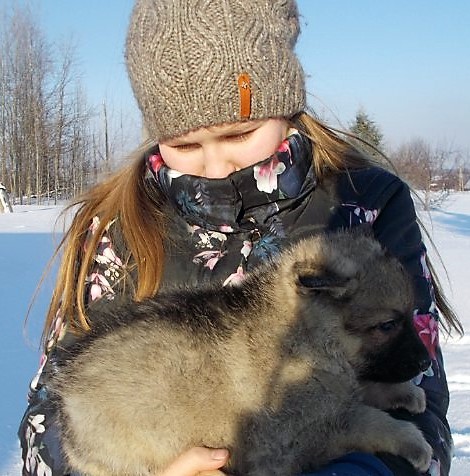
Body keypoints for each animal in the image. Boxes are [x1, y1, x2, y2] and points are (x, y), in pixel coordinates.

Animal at [48, 229, 434, 474]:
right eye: (388, 325)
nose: (426, 361)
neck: (308, 334)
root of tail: (66, 403)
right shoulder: (301, 437)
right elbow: (369, 420)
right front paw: (412, 440)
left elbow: (363, 388)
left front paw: (405, 393)